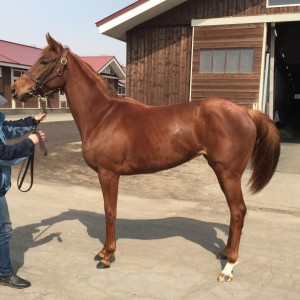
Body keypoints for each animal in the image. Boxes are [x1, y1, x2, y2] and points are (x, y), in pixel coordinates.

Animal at [11, 34, 278, 282]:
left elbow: (110, 211)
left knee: (238, 211)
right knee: (234, 212)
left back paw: (228, 268)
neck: (102, 115)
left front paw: (107, 255)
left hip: (228, 172)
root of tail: (246, 112)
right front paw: (104, 252)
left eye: (45, 61)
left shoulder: (109, 173)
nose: (15, 89)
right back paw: (224, 253)